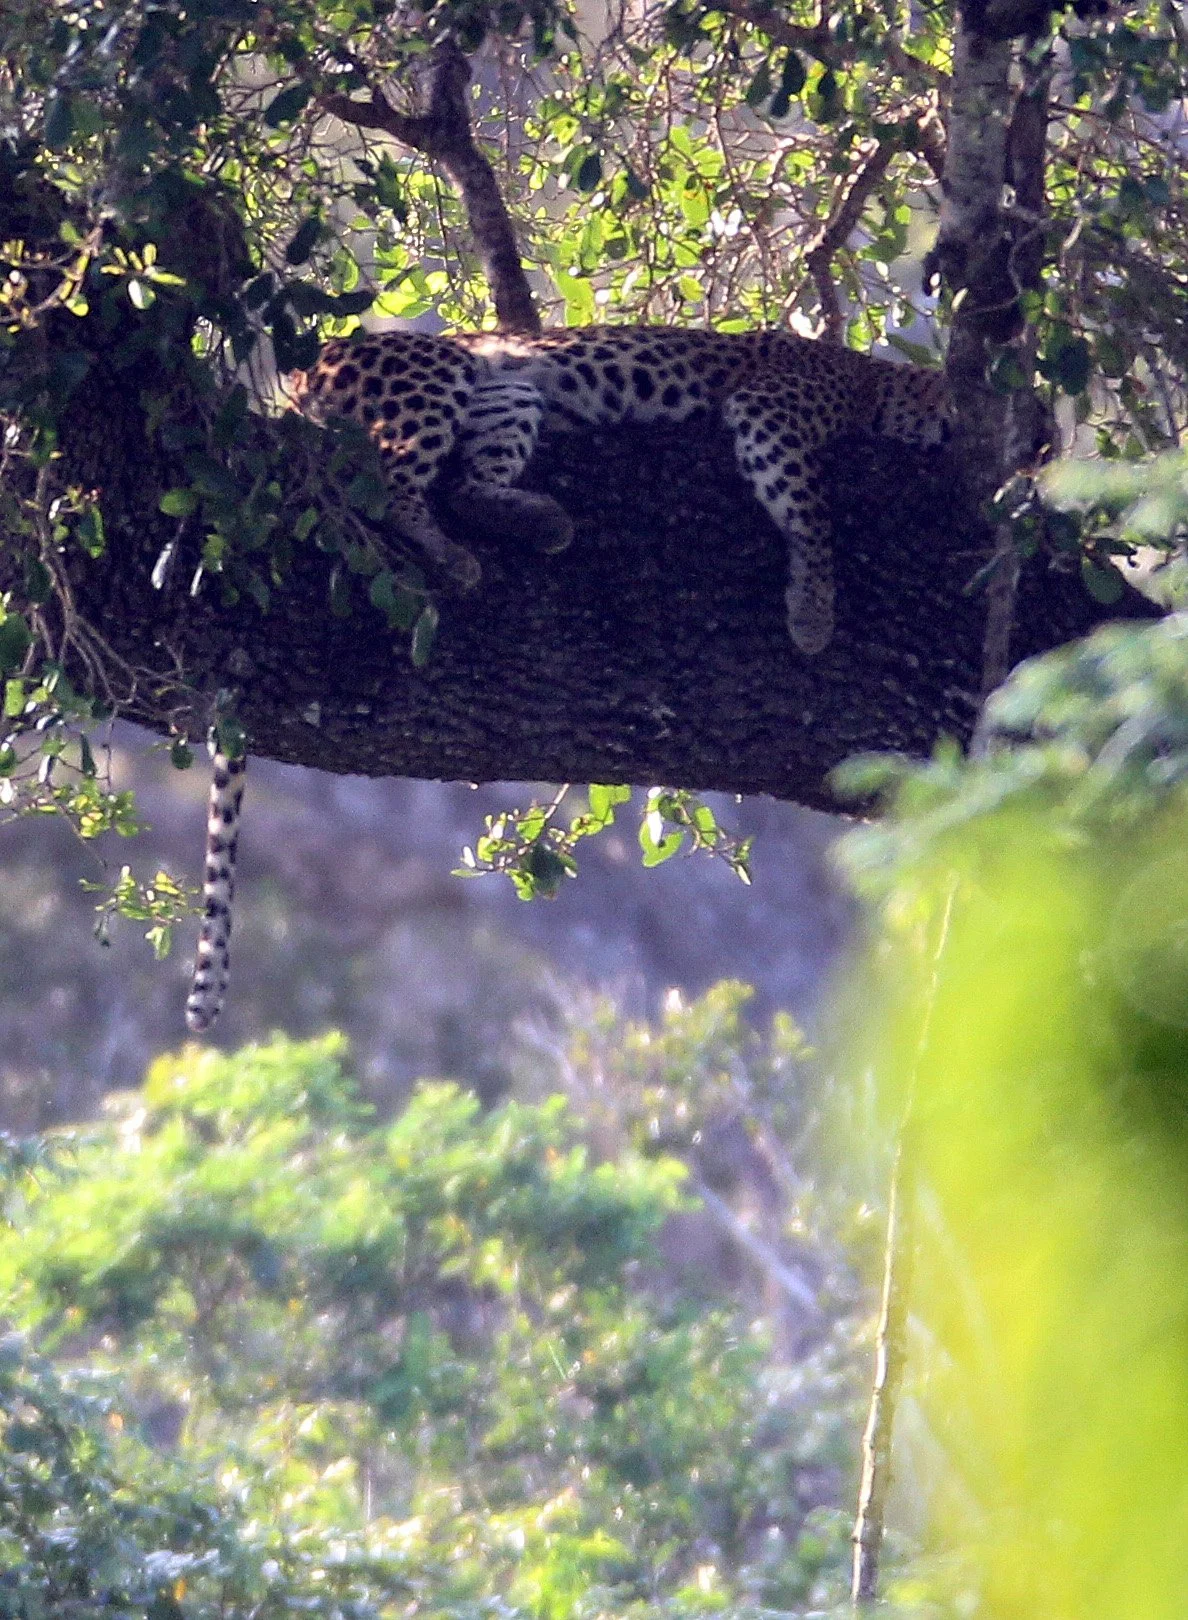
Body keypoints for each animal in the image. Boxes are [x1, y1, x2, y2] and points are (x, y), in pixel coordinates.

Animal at [184, 324, 950, 1035]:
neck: (878, 385)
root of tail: (300, 372)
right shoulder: (772, 412)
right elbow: (812, 512)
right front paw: (814, 611)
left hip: (510, 394)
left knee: (465, 484)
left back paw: (538, 522)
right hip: (434, 373)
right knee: (395, 485)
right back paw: (453, 557)